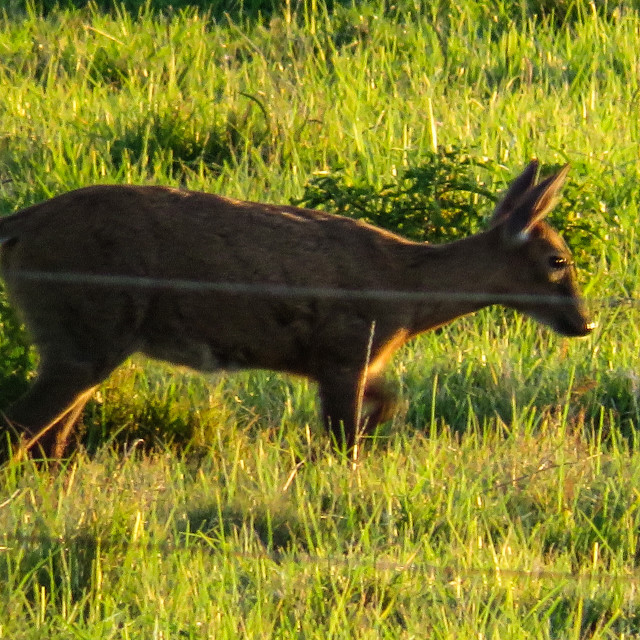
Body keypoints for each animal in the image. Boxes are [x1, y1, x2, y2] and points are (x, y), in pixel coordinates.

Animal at [0, 161, 596, 460]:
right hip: (85, 328)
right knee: (22, 425)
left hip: (83, 337)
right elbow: (342, 438)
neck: (405, 292)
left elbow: (389, 401)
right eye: (557, 260)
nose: (585, 322)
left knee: (49, 436)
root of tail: (20, 227)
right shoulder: (345, 349)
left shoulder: (345, 360)